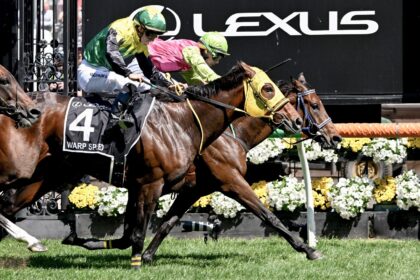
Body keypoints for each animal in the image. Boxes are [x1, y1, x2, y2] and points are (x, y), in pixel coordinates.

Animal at [0, 62, 302, 266]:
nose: (297, 121)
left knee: (8, 207)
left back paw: (31, 242)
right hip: (20, 168)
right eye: (267, 88)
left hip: (43, 178)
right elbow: (266, 212)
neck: (183, 123)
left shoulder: (158, 185)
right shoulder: (160, 183)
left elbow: (142, 230)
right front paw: (305, 247)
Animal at [65, 73, 340, 264]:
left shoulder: (194, 189)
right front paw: (308, 249)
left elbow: (167, 223)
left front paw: (147, 256)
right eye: (315, 105)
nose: (335, 137)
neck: (229, 133)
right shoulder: (230, 180)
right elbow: (268, 215)